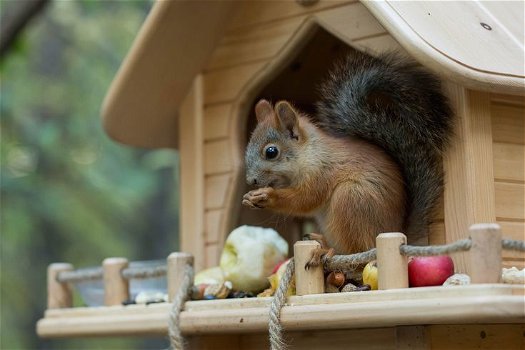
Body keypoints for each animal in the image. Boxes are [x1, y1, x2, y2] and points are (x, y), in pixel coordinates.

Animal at [242, 51, 450, 260]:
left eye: (271, 152)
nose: (251, 180)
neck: (309, 154)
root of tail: (397, 231)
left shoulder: (321, 173)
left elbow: (305, 199)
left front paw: (268, 196)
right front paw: (250, 198)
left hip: (351, 198)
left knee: (358, 249)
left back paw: (327, 250)